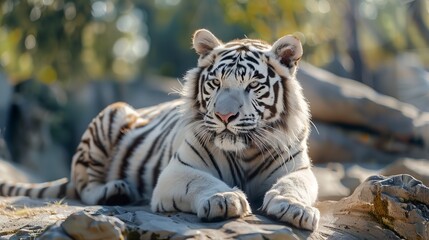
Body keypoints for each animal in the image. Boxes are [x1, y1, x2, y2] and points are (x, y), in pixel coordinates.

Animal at [0, 29, 320, 231]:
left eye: (252, 85)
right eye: (216, 83)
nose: (224, 115)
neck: (245, 151)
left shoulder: (299, 169)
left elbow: (295, 185)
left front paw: (295, 209)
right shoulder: (177, 171)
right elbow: (202, 182)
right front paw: (224, 198)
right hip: (114, 113)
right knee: (84, 186)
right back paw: (115, 191)